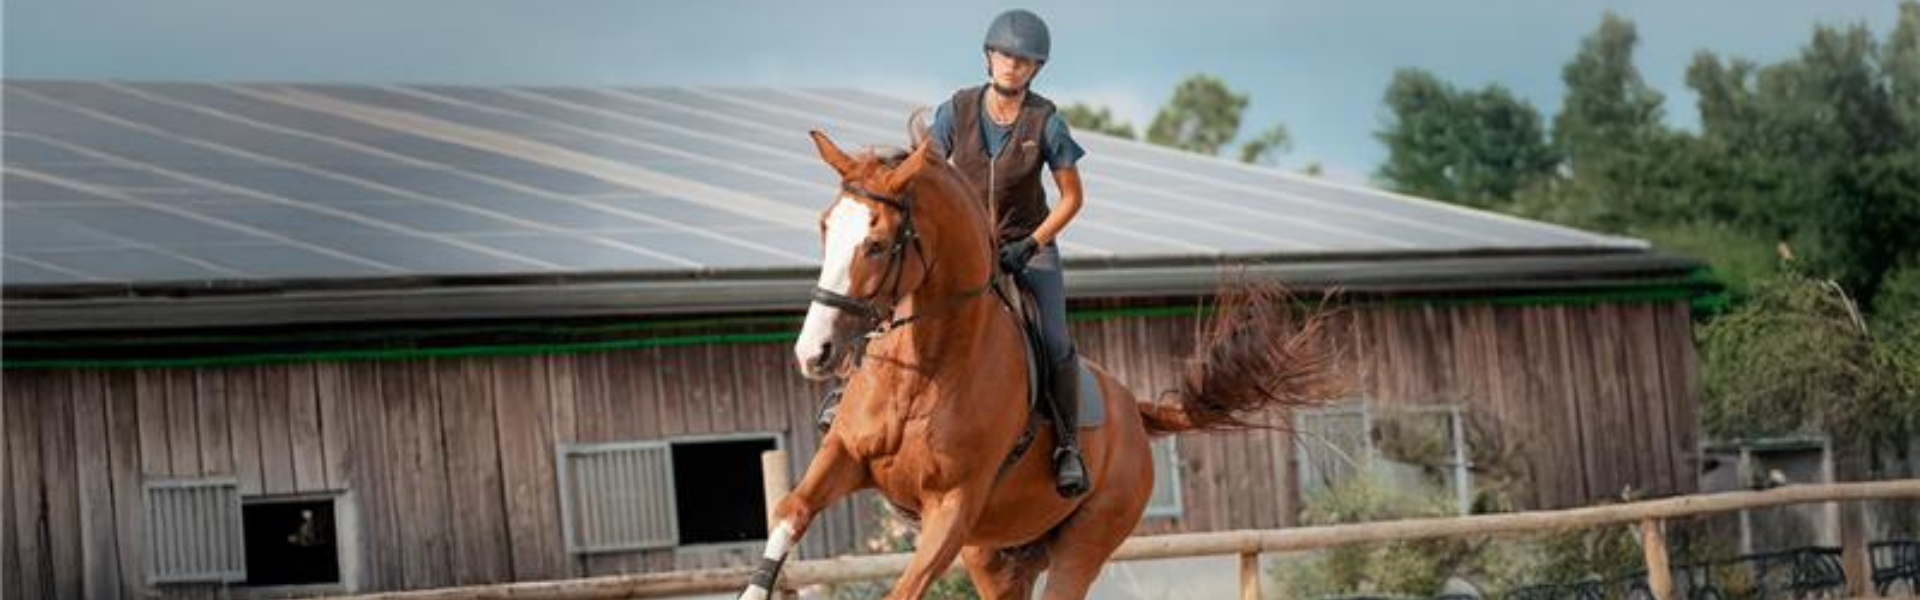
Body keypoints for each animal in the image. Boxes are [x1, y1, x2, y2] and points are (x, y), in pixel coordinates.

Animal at [736, 128, 1343, 600]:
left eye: (879, 244)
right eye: (825, 227)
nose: (813, 352)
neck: (925, 371)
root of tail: (1134, 409)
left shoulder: (952, 510)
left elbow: (902, 591)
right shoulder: (844, 455)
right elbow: (791, 510)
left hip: (1083, 543)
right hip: (997, 555)